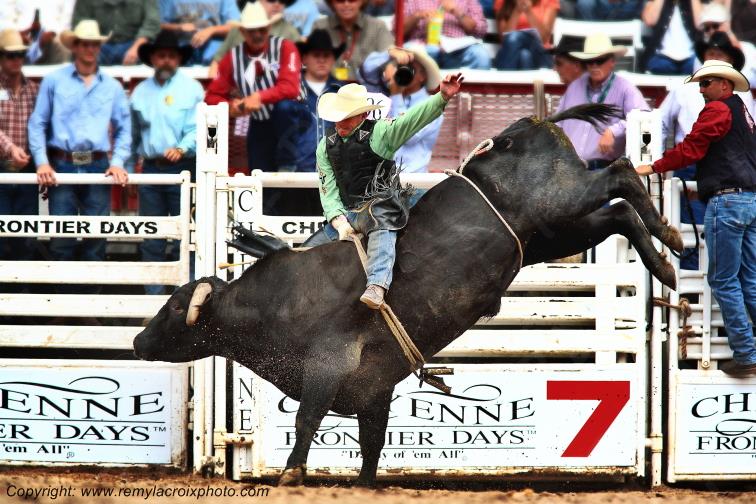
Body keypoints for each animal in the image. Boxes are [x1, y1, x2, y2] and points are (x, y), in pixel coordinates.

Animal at [133, 104, 681, 487]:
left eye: (172, 307)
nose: (138, 343)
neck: (273, 303)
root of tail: (520, 127)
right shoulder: (374, 389)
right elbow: (372, 442)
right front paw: (364, 483)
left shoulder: (327, 364)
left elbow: (309, 417)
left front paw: (291, 473)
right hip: (551, 233)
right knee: (617, 213)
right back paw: (666, 262)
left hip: (560, 203)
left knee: (620, 173)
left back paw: (671, 240)